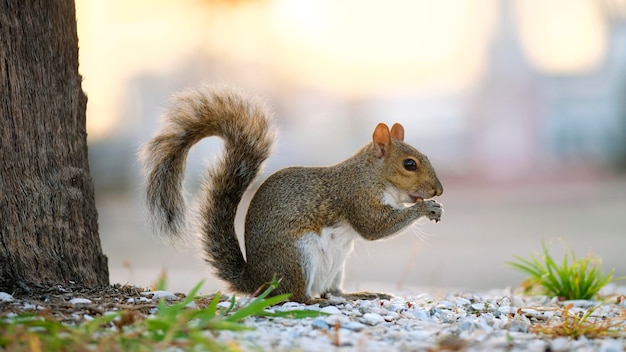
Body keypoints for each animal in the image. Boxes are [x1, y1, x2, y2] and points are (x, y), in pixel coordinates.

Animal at [141, 86, 444, 306]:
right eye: (409, 164)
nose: (438, 190)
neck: (372, 174)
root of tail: (257, 281)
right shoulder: (356, 196)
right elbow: (374, 228)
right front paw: (426, 209)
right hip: (296, 257)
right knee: (295, 296)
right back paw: (318, 302)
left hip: (336, 266)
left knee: (332, 290)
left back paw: (358, 294)